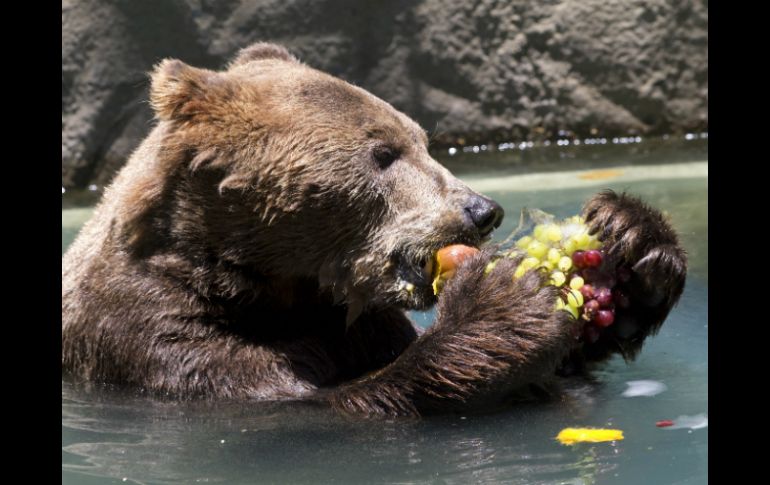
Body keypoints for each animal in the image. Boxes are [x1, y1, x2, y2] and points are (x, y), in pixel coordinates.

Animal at [60, 42, 684, 416]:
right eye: (383, 153)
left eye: (423, 141)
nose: (482, 210)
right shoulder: (147, 333)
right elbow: (315, 404)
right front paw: (505, 301)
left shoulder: (355, 321)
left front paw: (632, 240)